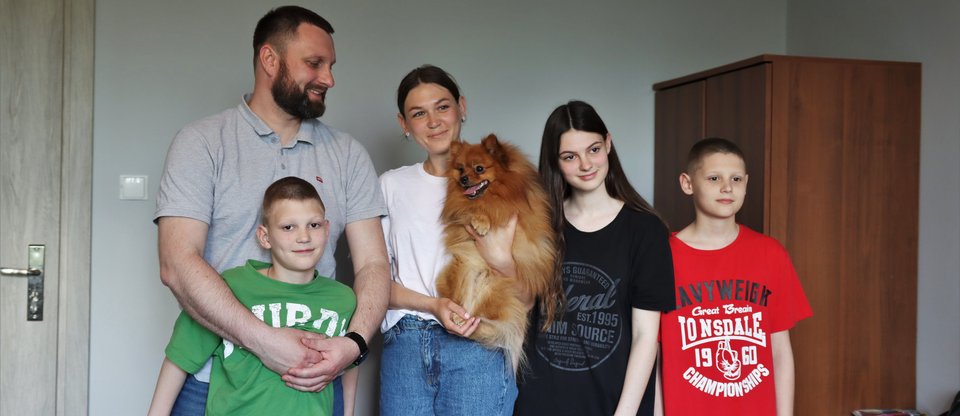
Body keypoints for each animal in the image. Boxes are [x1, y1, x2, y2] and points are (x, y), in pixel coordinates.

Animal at [436, 133, 564, 370]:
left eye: (479, 168)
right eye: (460, 168)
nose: (464, 179)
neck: (493, 194)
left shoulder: (516, 215)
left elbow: (491, 211)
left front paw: (482, 221)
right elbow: (468, 211)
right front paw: (479, 219)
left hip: (496, 290)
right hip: (462, 270)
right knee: (462, 303)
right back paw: (460, 317)